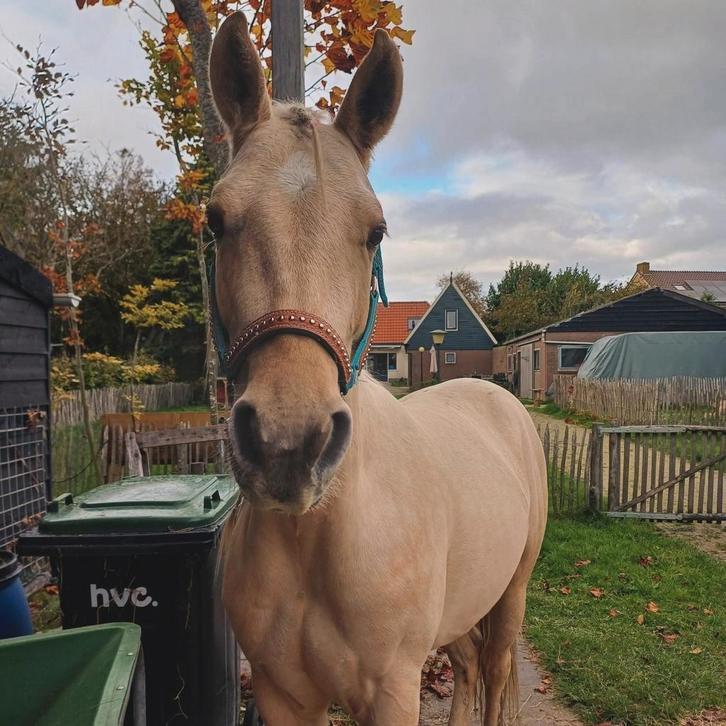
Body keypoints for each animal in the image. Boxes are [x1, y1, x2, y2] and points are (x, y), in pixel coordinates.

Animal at [208, 13, 547, 725]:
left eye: (376, 232)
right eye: (217, 220)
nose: (288, 443)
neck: (319, 535)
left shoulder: (391, 689)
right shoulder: (282, 696)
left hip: (511, 594)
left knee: (495, 671)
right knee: (467, 668)